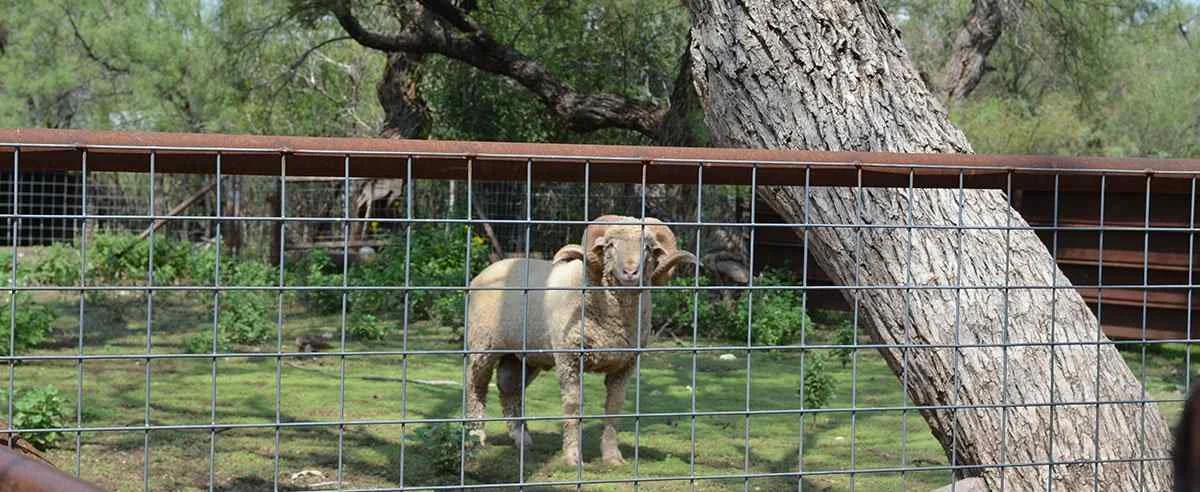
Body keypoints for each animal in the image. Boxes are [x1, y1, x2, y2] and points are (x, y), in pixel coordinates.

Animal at [464, 215, 698, 466]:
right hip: (483, 345)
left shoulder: (624, 365)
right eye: (610, 245)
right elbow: (573, 406)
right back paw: (476, 434)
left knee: (509, 389)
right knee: (475, 385)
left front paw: (613, 457)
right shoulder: (569, 359)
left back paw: (521, 438)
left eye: (647, 247)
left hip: (522, 357)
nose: (630, 272)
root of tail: (485, 272)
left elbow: (614, 408)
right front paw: (573, 457)